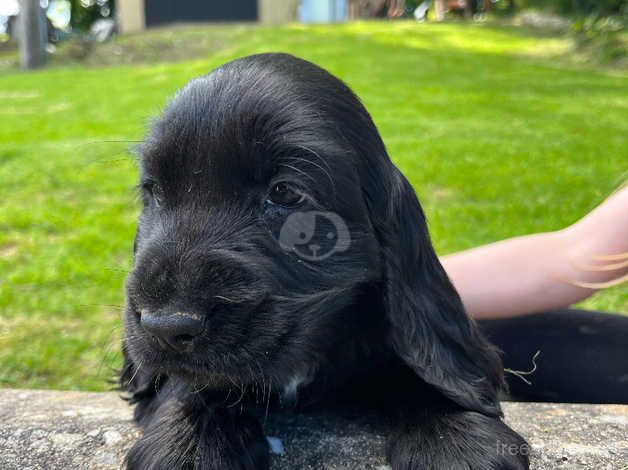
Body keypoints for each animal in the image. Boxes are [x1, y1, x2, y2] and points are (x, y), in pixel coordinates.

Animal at [119, 53, 528, 468]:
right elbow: (186, 380)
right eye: (154, 191)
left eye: (285, 192)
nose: (165, 326)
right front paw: (190, 442)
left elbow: (416, 363)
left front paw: (455, 437)